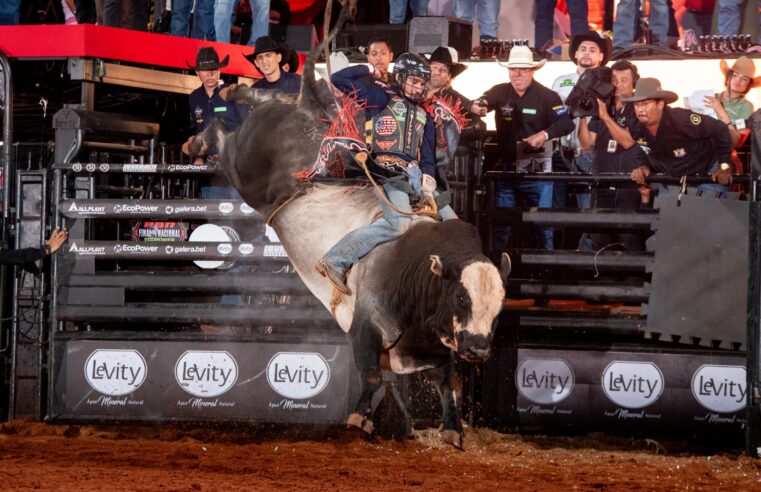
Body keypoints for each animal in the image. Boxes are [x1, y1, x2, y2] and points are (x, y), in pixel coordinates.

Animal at [190, 0, 510, 448]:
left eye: (498, 305)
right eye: (462, 299)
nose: (479, 351)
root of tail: (310, 111)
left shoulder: (427, 345)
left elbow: (447, 381)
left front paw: (450, 429)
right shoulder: (366, 325)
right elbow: (372, 376)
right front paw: (361, 419)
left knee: (265, 95)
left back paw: (236, 94)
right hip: (244, 163)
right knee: (224, 132)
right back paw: (201, 135)